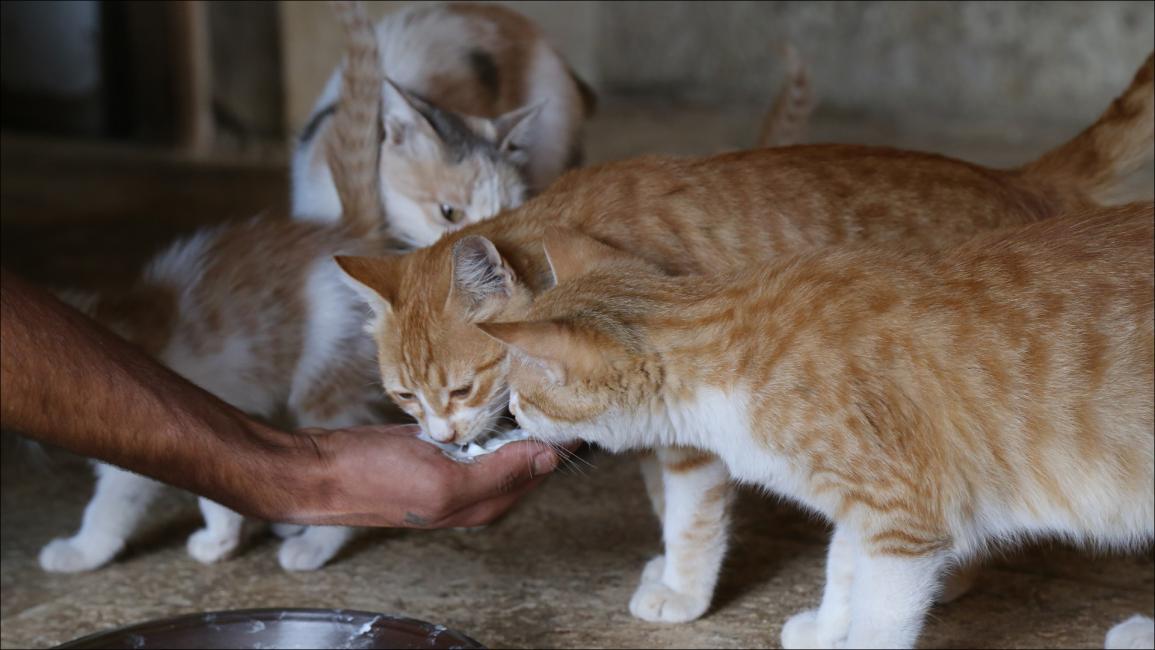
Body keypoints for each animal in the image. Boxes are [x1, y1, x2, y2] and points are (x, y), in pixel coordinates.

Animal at [40, 1, 397, 574]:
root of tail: (345, 231)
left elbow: (114, 503)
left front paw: (82, 550)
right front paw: (222, 535)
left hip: (324, 376)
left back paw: (313, 545)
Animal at [478, 200, 1155, 646]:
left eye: (521, 396)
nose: (510, 416)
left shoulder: (904, 524)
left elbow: (880, 622)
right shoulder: (864, 511)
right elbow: (842, 567)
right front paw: (829, 628)